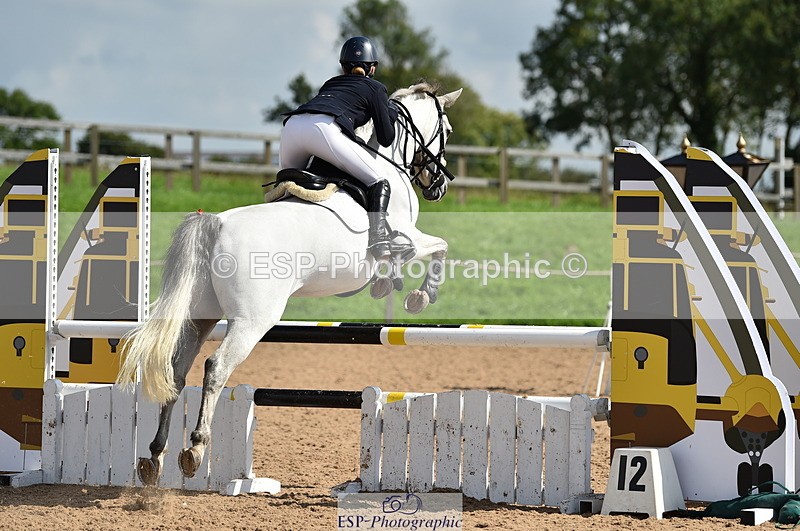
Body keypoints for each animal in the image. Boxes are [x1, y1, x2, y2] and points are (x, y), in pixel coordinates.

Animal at [117, 82, 462, 485]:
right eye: (447, 131)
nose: (440, 186)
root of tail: (216, 222)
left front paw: (387, 284)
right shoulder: (410, 237)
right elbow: (439, 247)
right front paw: (421, 296)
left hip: (199, 317)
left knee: (176, 371)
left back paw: (155, 456)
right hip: (252, 321)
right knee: (216, 367)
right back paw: (195, 449)